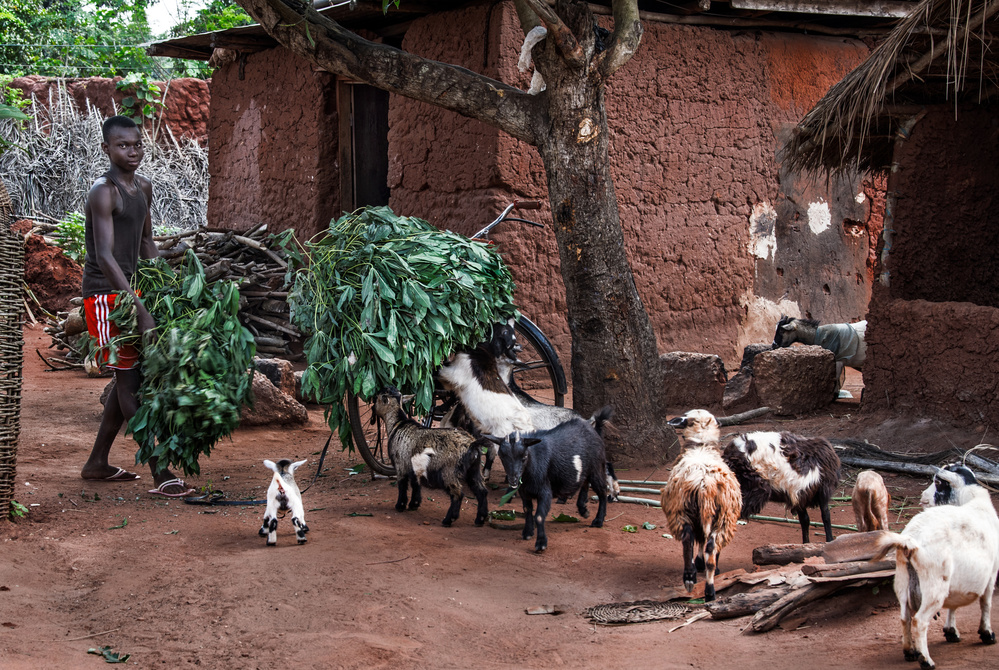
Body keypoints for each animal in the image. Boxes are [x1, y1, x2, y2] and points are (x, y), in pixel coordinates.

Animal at [370, 388, 490, 532]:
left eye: (376, 399)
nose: (372, 406)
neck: (397, 425)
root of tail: (472, 444)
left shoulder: (400, 465)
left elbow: (402, 485)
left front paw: (400, 505)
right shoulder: (414, 468)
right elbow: (416, 484)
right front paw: (414, 504)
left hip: (449, 472)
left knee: (457, 494)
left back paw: (448, 520)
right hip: (474, 469)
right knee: (482, 491)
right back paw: (480, 519)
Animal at [488, 414, 612, 556]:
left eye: (524, 457)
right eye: (502, 457)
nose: (513, 480)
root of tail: (593, 429)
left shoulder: (545, 492)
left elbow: (539, 516)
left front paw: (541, 544)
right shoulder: (524, 492)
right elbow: (527, 510)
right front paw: (527, 532)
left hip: (597, 467)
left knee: (602, 491)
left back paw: (598, 520)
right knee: (585, 482)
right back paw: (583, 510)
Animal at [664, 410, 744, 604]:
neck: (701, 445)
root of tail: (704, 483)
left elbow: (700, 540)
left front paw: (699, 564)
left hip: (685, 509)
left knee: (694, 539)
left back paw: (696, 582)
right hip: (719, 516)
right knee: (704, 544)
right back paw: (703, 587)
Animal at [876, 464, 999, 668]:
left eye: (938, 483)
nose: (923, 496)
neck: (972, 502)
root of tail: (911, 540)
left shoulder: (957, 582)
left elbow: (954, 605)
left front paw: (951, 631)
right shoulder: (991, 573)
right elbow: (986, 603)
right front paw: (987, 634)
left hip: (903, 580)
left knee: (904, 617)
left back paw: (910, 651)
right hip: (934, 585)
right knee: (919, 621)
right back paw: (926, 660)